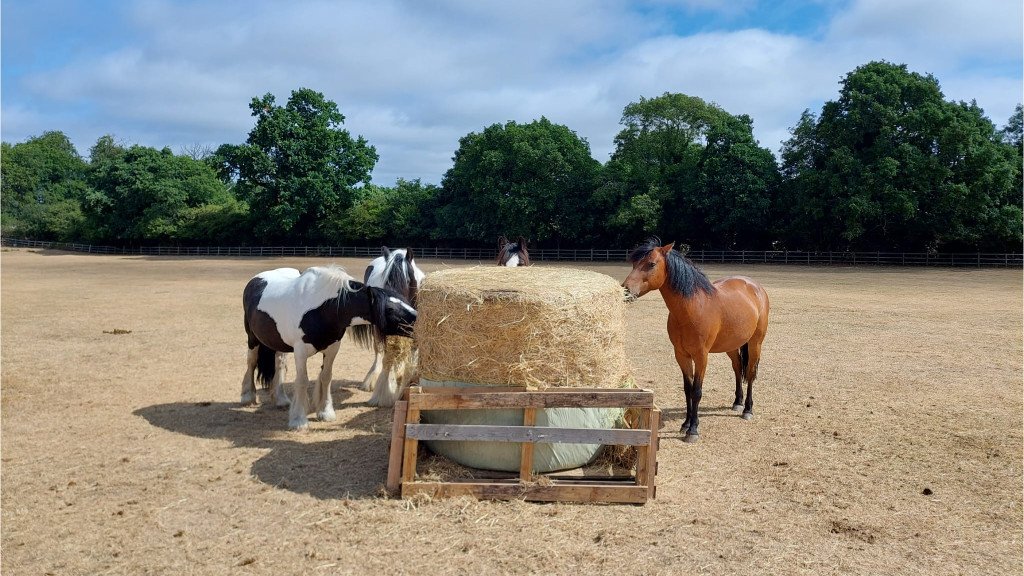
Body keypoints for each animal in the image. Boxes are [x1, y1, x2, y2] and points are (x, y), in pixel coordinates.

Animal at [240, 265, 417, 430]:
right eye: (390, 308)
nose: (418, 320)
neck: (325, 309)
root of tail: (257, 279)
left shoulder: (332, 348)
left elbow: (326, 377)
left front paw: (325, 413)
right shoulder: (300, 351)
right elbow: (302, 381)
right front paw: (299, 420)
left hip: (279, 343)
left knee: (280, 365)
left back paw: (281, 399)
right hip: (252, 338)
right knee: (251, 362)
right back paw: (247, 397)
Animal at [359, 247, 426, 407]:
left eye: (408, 280)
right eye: (386, 281)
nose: (388, 306)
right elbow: (388, 357)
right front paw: (384, 392)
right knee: (378, 351)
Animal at [621, 237, 770, 442]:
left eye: (651, 264)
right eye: (634, 264)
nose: (625, 291)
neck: (691, 309)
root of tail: (755, 287)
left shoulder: (701, 356)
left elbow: (697, 391)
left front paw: (693, 429)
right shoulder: (681, 355)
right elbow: (688, 389)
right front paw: (685, 424)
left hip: (755, 343)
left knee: (750, 372)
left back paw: (747, 409)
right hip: (732, 346)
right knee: (738, 368)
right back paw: (737, 402)